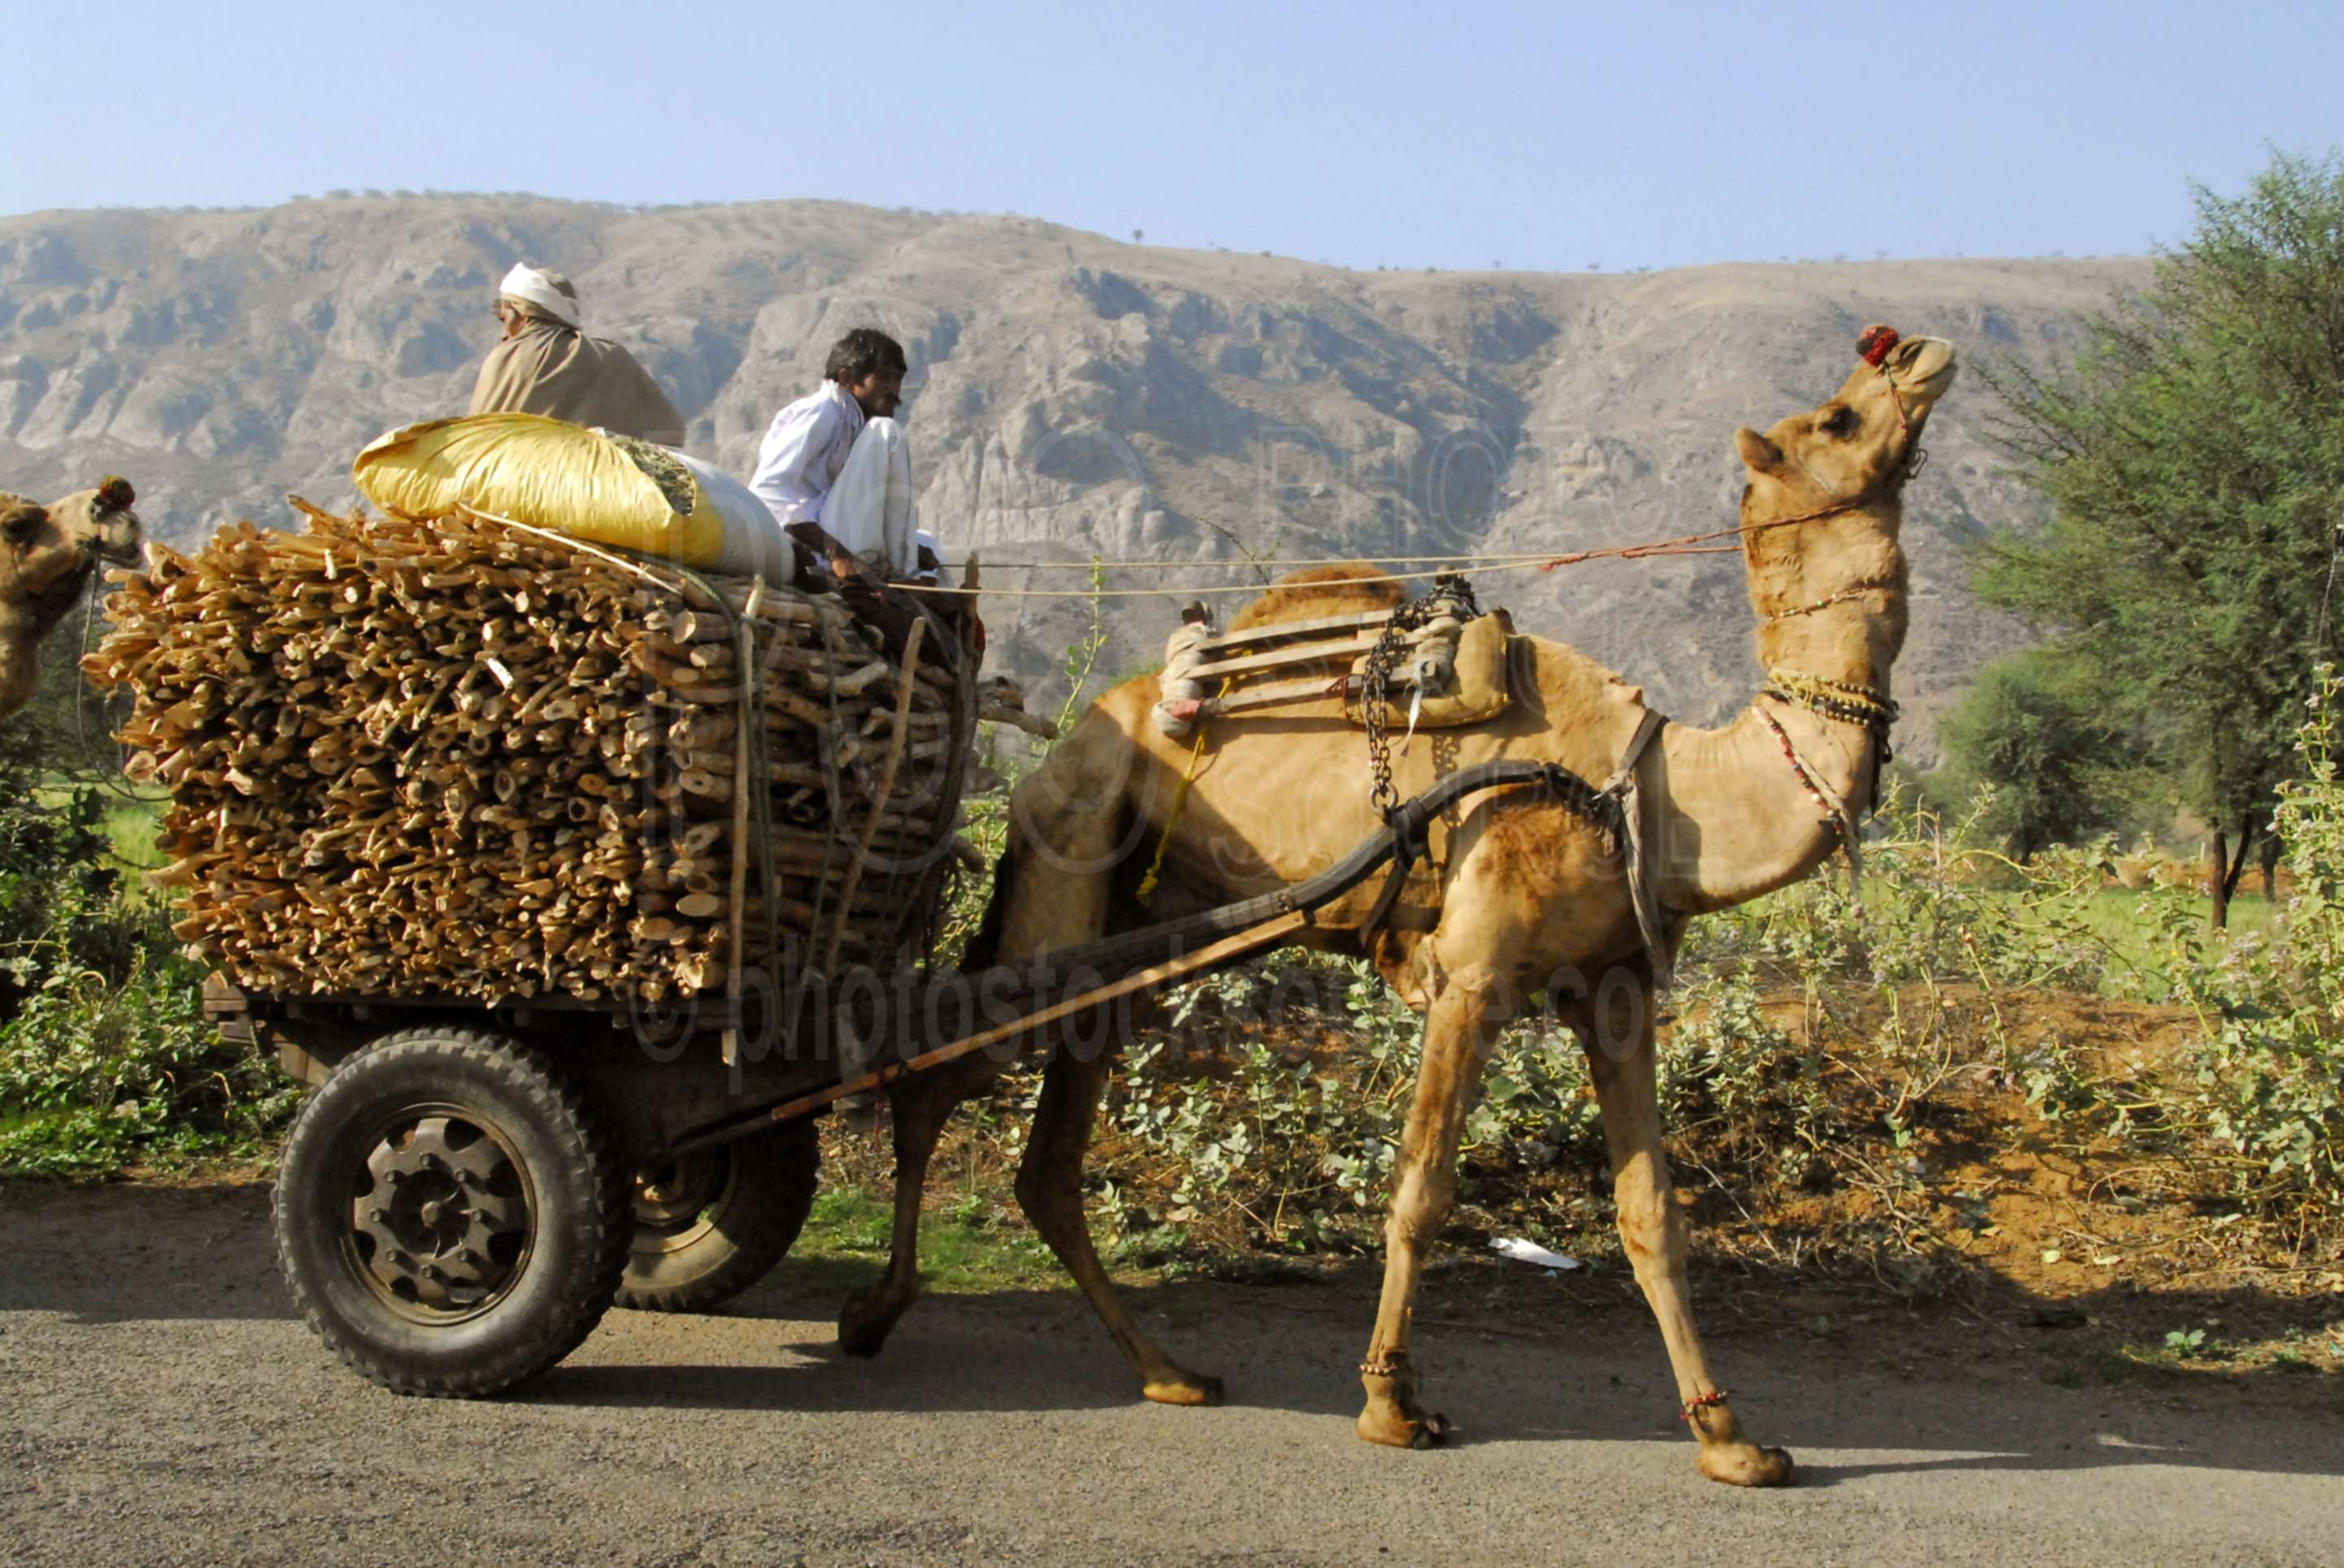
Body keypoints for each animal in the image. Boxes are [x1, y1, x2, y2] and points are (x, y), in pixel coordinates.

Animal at [843, 328, 1958, 1487]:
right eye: (1835, 418)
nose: (1922, 352)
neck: (1650, 784)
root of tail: (1054, 752)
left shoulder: (1617, 986)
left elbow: (1652, 1210)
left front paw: (1731, 1438)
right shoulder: (1472, 975)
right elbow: (1422, 1188)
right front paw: (1391, 1404)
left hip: (1128, 933)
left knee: (1046, 1161)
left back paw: (1168, 1370)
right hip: (1068, 861)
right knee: (938, 1071)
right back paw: (875, 1312)